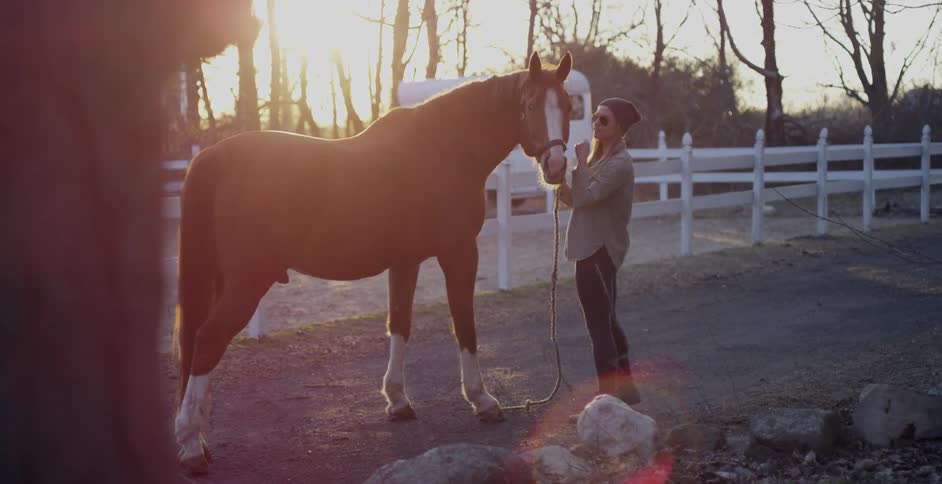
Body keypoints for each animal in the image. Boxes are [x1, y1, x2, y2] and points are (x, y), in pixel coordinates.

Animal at [173, 51, 574, 474]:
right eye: (529, 105)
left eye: (567, 106)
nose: (556, 165)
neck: (445, 149)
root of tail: (212, 157)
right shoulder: (460, 253)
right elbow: (464, 325)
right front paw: (482, 400)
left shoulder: (405, 262)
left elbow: (399, 324)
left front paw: (397, 401)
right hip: (248, 281)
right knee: (207, 340)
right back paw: (191, 446)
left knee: (194, 345)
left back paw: (197, 439)